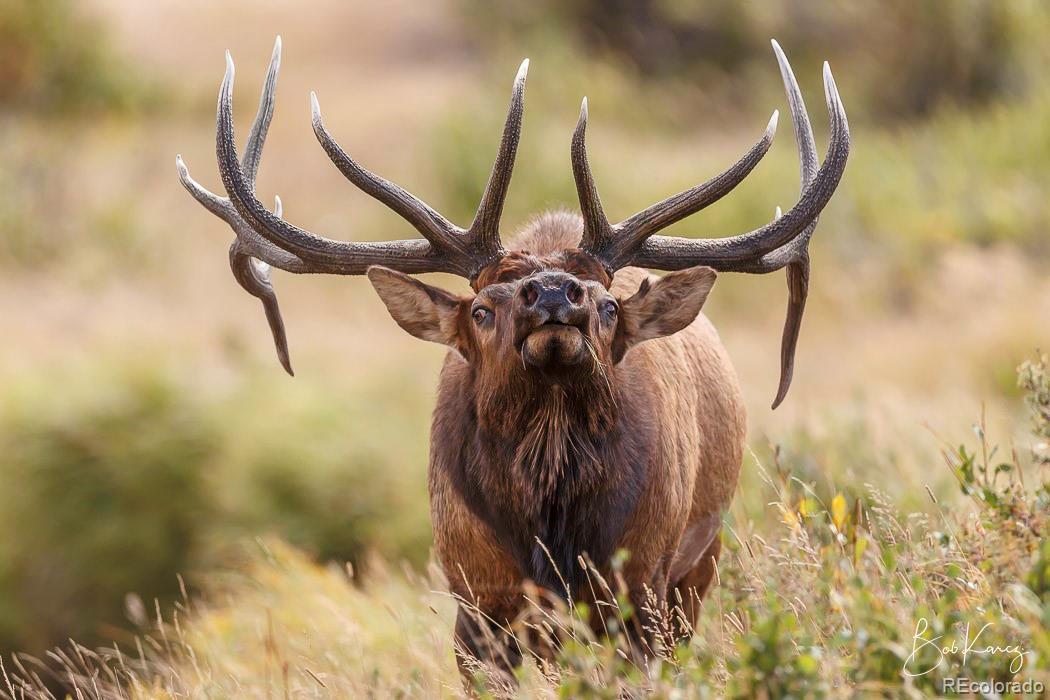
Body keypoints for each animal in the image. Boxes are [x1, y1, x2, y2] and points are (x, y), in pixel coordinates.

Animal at [177, 36, 849, 683]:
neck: (550, 535)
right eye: (481, 309)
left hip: (698, 567)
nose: (554, 293)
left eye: (610, 305)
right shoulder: (475, 603)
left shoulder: (640, 590)